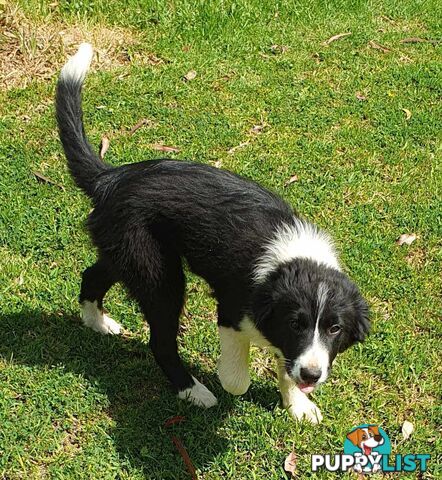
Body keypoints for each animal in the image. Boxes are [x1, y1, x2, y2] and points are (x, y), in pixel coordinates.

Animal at [57, 43, 372, 422]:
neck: (295, 260)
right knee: (160, 339)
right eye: (297, 323)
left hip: (127, 252)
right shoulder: (233, 308)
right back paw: (193, 390)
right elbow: (240, 376)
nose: (312, 375)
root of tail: (111, 177)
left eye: (334, 328)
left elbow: (286, 363)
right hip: (158, 271)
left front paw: (297, 404)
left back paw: (97, 322)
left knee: (93, 274)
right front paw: (232, 382)